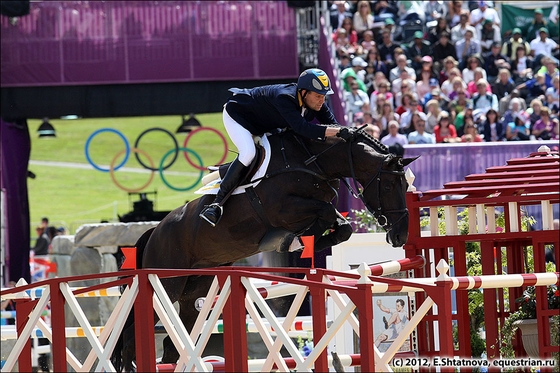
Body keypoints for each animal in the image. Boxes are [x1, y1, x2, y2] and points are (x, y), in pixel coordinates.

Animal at [112, 125, 416, 370]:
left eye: (405, 184)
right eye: (389, 185)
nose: (400, 235)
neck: (313, 163)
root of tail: (154, 232)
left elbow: (341, 227)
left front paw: (303, 242)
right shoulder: (285, 209)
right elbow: (326, 212)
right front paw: (293, 240)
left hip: (193, 296)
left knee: (170, 347)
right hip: (165, 284)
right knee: (129, 340)